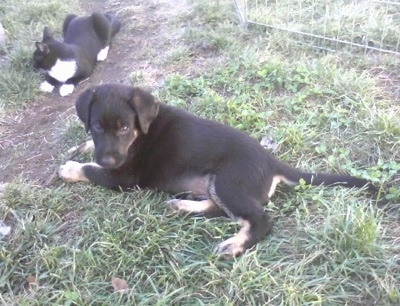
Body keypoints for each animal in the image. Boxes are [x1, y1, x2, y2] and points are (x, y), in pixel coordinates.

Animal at [58, 82, 376, 256]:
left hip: (227, 182)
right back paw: (183, 206)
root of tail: (271, 161)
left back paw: (234, 245)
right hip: (215, 184)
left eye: (124, 128)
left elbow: (91, 171)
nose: (108, 159)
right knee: (217, 209)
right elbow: (90, 152)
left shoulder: (124, 176)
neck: (142, 130)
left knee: (260, 219)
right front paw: (81, 147)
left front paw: (70, 168)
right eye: (97, 126)